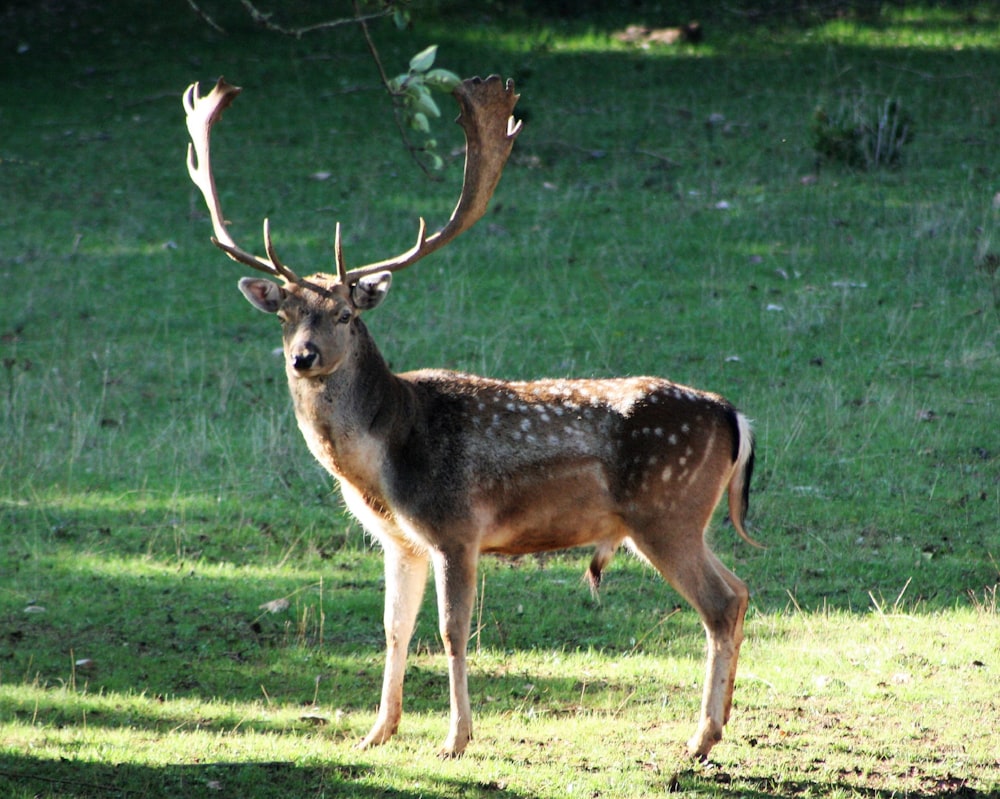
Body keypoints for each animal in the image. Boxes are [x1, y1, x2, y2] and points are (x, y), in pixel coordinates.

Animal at [184, 72, 756, 760]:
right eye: (286, 314)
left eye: (346, 313)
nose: (304, 357)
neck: (383, 461)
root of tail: (733, 415)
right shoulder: (399, 540)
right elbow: (393, 629)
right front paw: (377, 732)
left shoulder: (455, 527)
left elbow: (452, 631)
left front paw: (455, 739)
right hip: (687, 520)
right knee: (742, 590)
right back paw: (718, 724)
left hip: (664, 512)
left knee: (720, 603)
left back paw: (700, 739)